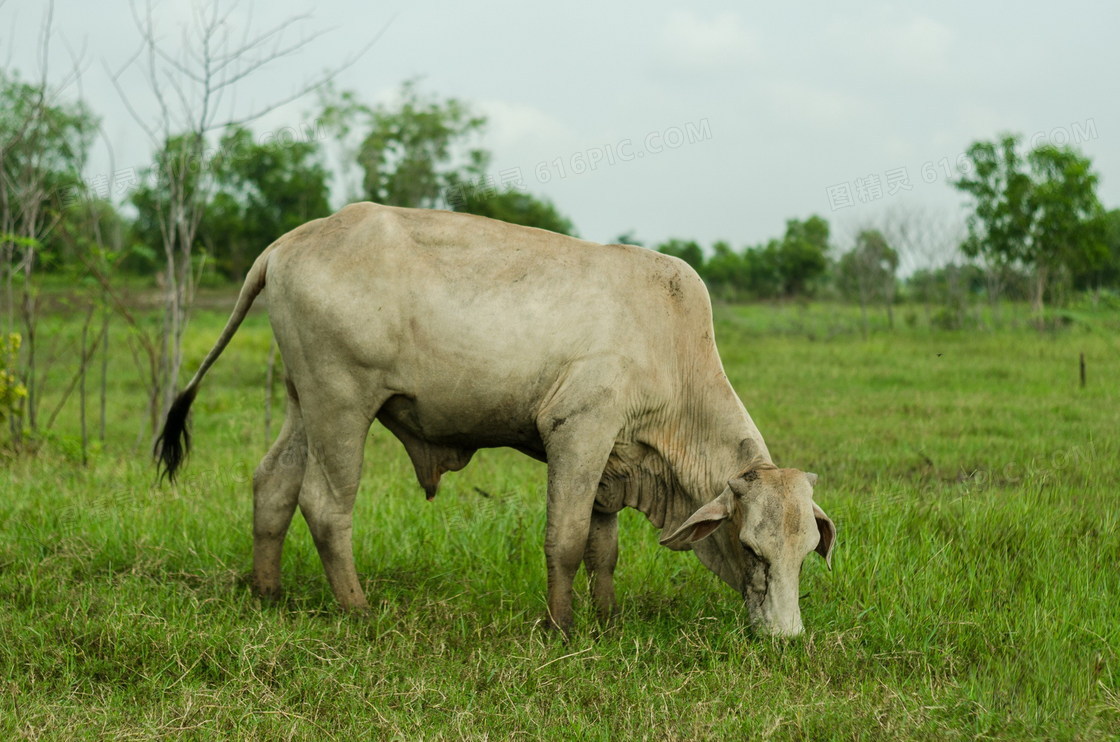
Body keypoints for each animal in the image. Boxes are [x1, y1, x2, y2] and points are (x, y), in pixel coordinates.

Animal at [162, 203, 837, 641]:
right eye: (751, 548)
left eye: (807, 551)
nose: (786, 638)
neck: (670, 349)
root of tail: (289, 243)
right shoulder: (578, 432)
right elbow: (566, 541)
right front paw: (562, 628)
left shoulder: (611, 461)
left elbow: (604, 549)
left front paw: (608, 619)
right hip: (341, 404)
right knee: (326, 505)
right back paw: (356, 610)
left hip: (302, 401)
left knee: (272, 484)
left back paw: (267, 594)